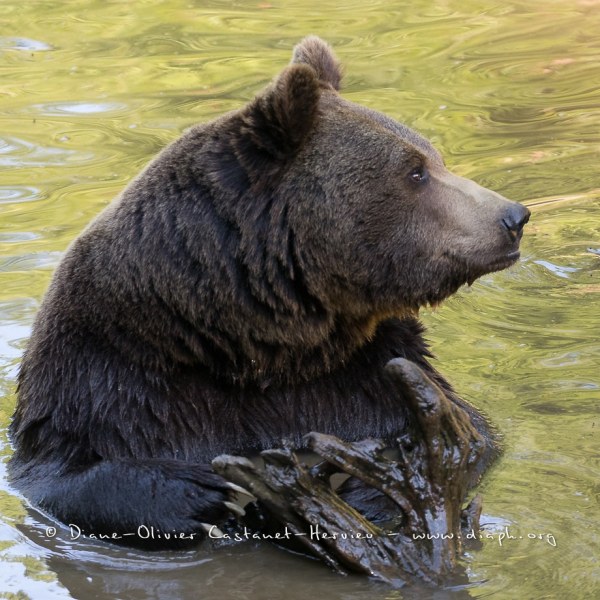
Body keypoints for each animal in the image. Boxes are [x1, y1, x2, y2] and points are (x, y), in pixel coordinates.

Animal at [7, 36, 528, 552]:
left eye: (433, 158)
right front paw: (204, 493)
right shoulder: (109, 378)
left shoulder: (367, 369)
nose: (513, 216)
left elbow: (472, 437)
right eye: (416, 171)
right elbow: (64, 477)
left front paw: (370, 484)